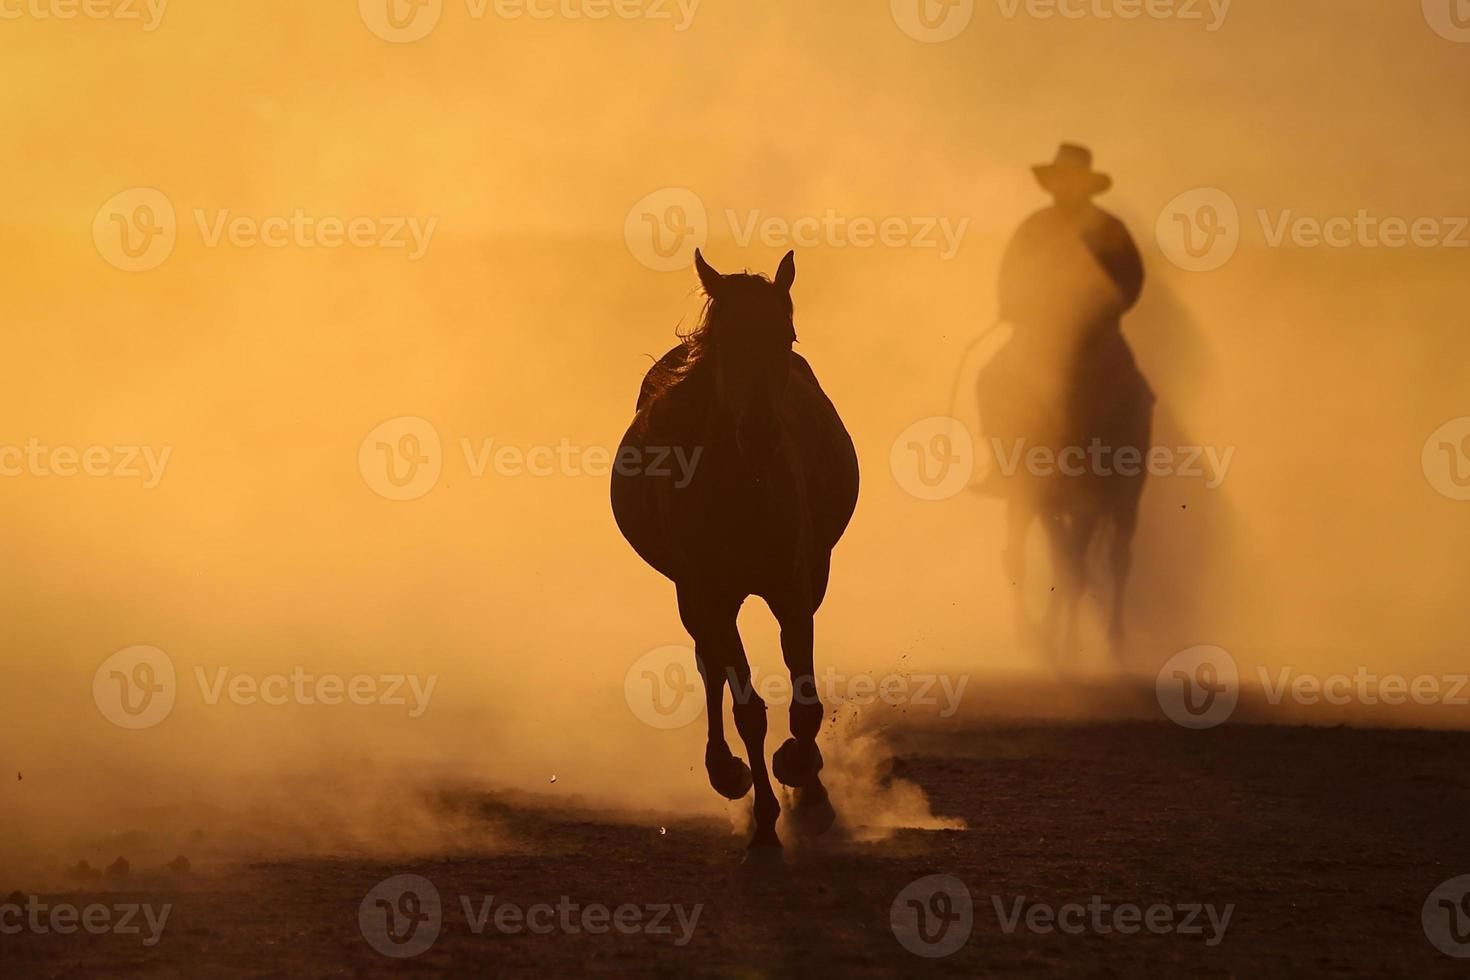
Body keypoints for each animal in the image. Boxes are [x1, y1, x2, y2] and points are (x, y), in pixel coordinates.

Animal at [611, 249, 858, 863]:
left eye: (785, 336)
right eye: (726, 342)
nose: (762, 433)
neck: (742, 488)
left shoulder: (793, 586)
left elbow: (805, 702)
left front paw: (805, 783)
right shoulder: (708, 591)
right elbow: (746, 705)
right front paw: (765, 826)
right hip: (693, 596)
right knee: (711, 663)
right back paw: (725, 771)